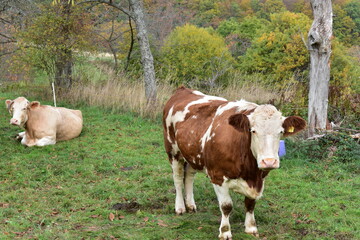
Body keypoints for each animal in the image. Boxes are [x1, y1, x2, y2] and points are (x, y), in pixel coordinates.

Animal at [163, 87, 306, 239]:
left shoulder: (260, 179)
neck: (251, 172)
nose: (269, 162)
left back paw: (190, 205)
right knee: (178, 179)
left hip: (192, 155)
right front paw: (225, 231)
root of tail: (183, 89)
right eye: (253, 131)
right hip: (173, 150)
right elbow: (226, 206)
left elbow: (250, 203)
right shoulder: (217, 176)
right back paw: (180, 207)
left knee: (189, 176)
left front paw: (251, 228)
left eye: (280, 132)